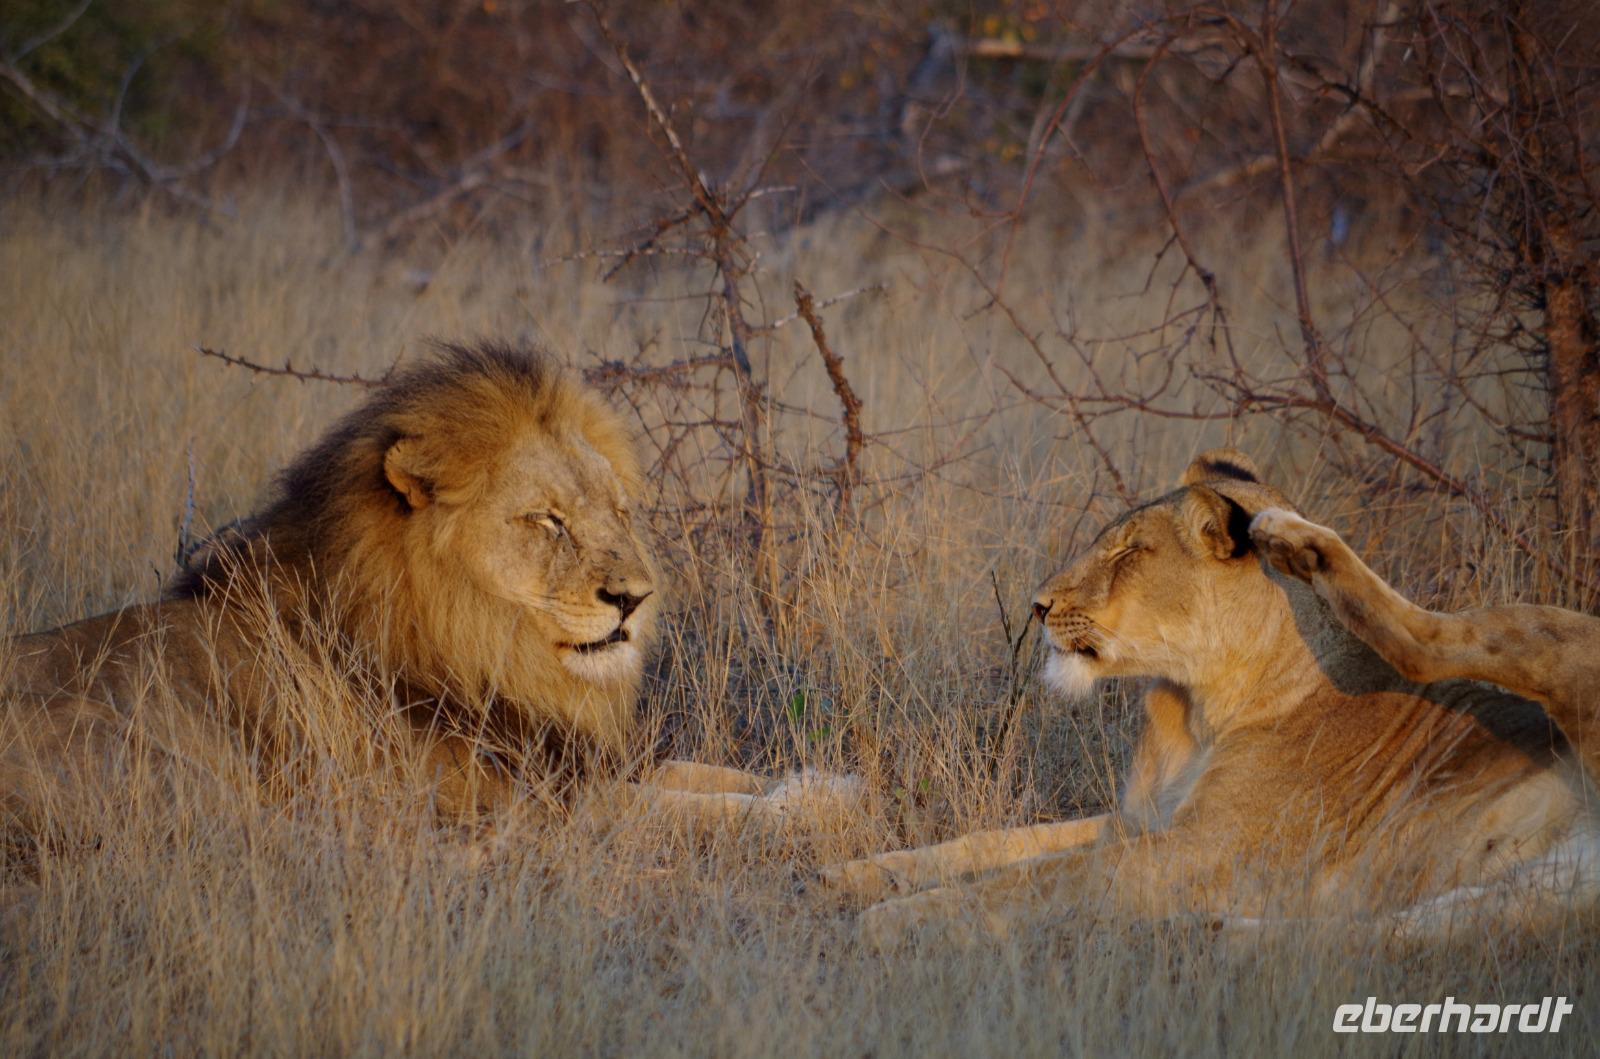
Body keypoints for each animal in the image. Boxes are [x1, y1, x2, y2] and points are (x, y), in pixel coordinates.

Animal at [2, 341, 856, 835]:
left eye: (615, 510)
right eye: (547, 520)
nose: (636, 600)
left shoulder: (566, 758)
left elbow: (710, 773)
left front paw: (829, 778)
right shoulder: (530, 797)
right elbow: (709, 809)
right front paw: (818, 808)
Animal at [821, 450, 1599, 944]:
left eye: (1127, 553)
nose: (1038, 605)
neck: (1198, 708)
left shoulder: (1198, 848)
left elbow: (1029, 880)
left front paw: (891, 922)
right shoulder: (1138, 821)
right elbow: (998, 843)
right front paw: (854, 874)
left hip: (1563, 645)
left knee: (1431, 636)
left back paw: (1291, 534)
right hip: (1512, 900)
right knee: (1371, 939)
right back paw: (1202, 934)